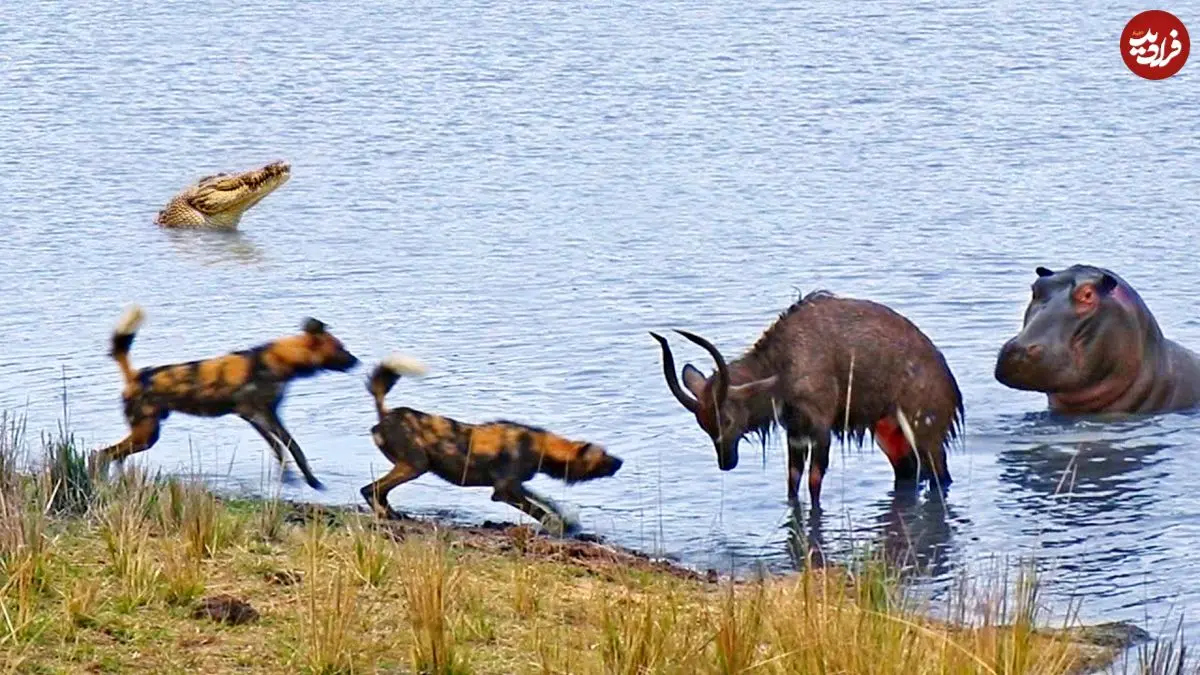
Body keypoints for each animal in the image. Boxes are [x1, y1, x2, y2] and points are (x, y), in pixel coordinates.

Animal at [96, 304, 360, 490]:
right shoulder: (260, 414)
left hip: (145, 435)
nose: (357, 361)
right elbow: (290, 448)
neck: (278, 361)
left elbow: (284, 449)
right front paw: (309, 481)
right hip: (146, 434)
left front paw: (294, 479)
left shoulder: (259, 416)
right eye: (341, 348)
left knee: (115, 457)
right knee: (102, 454)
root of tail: (136, 375)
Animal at [361, 354, 624, 532]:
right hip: (416, 466)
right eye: (603, 455)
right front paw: (558, 527)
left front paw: (567, 523)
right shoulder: (504, 490)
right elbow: (538, 510)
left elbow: (547, 502)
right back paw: (387, 515)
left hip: (411, 466)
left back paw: (395, 516)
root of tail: (386, 414)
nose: (620, 462)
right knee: (370, 490)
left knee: (378, 492)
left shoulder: (515, 485)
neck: (541, 446)